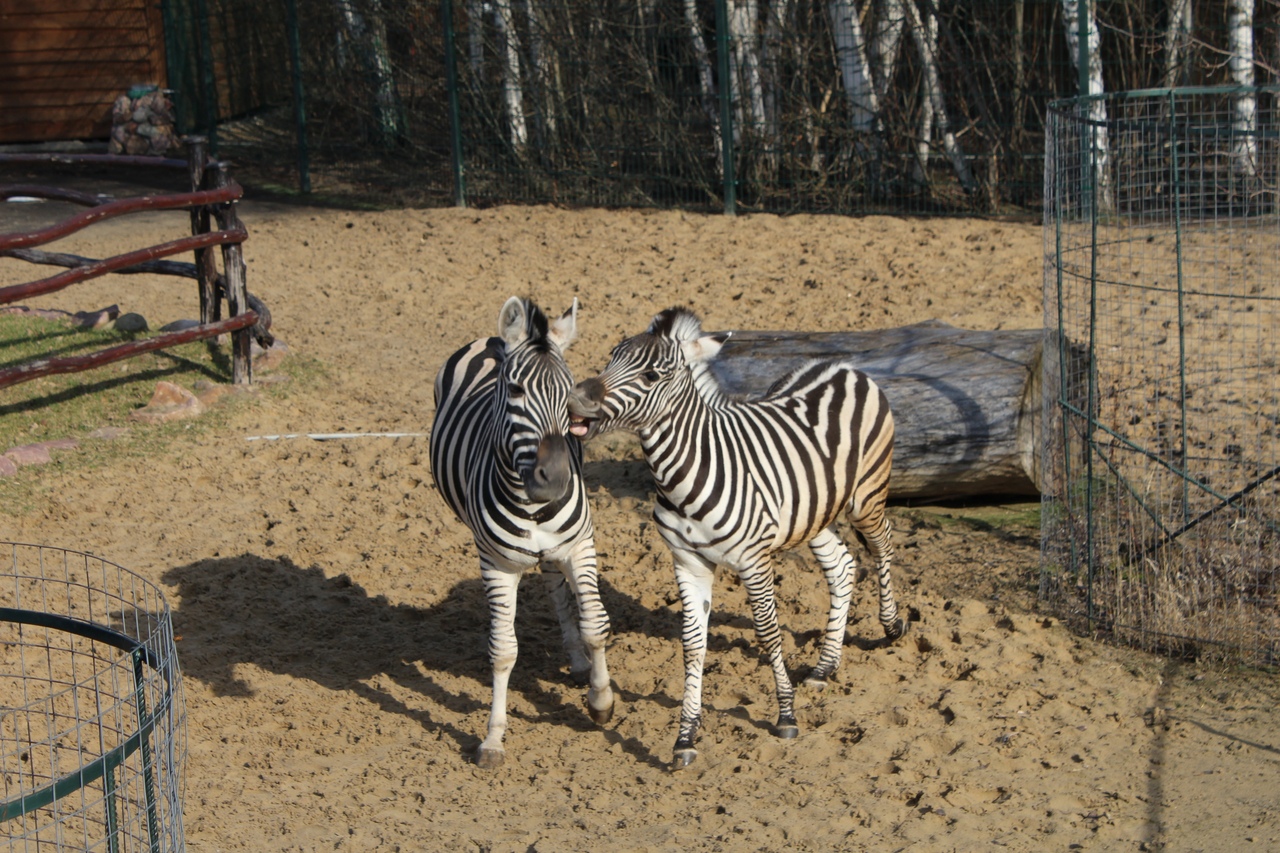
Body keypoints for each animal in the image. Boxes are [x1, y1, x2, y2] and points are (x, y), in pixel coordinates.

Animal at [430, 295, 614, 768]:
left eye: (569, 394)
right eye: (514, 391)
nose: (556, 480)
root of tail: (492, 339)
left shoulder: (580, 546)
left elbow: (595, 623)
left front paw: (601, 701)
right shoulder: (496, 565)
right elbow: (503, 650)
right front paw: (493, 738)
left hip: (560, 547)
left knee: (555, 585)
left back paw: (580, 663)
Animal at [565, 303, 906, 763]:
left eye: (652, 375)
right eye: (611, 358)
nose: (576, 399)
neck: (685, 473)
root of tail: (839, 365)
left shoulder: (753, 560)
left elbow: (768, 631)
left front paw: (785, 716)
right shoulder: (687, 561)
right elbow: (693, 644)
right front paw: (686, 737)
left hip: (866, 494)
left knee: (883, 544)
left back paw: (891, 625)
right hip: (813, 511)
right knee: (842, 566)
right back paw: (824, 666)